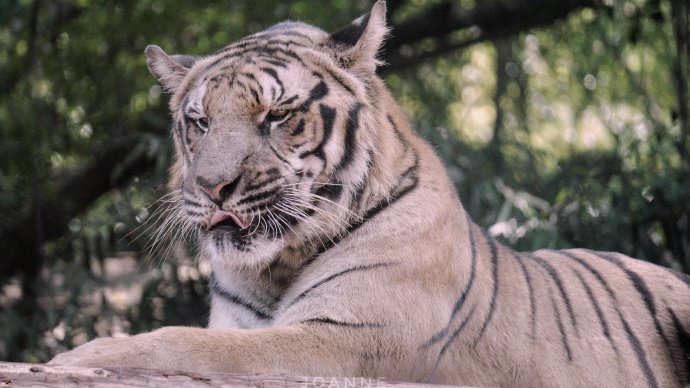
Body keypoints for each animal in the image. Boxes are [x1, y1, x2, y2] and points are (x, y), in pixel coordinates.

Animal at [49, 1, 688, 386]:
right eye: (200, 122)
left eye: (277, 115)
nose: (212, 187)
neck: (276, 267)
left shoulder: (345, 341)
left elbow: (180, 344)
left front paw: (73, 359)